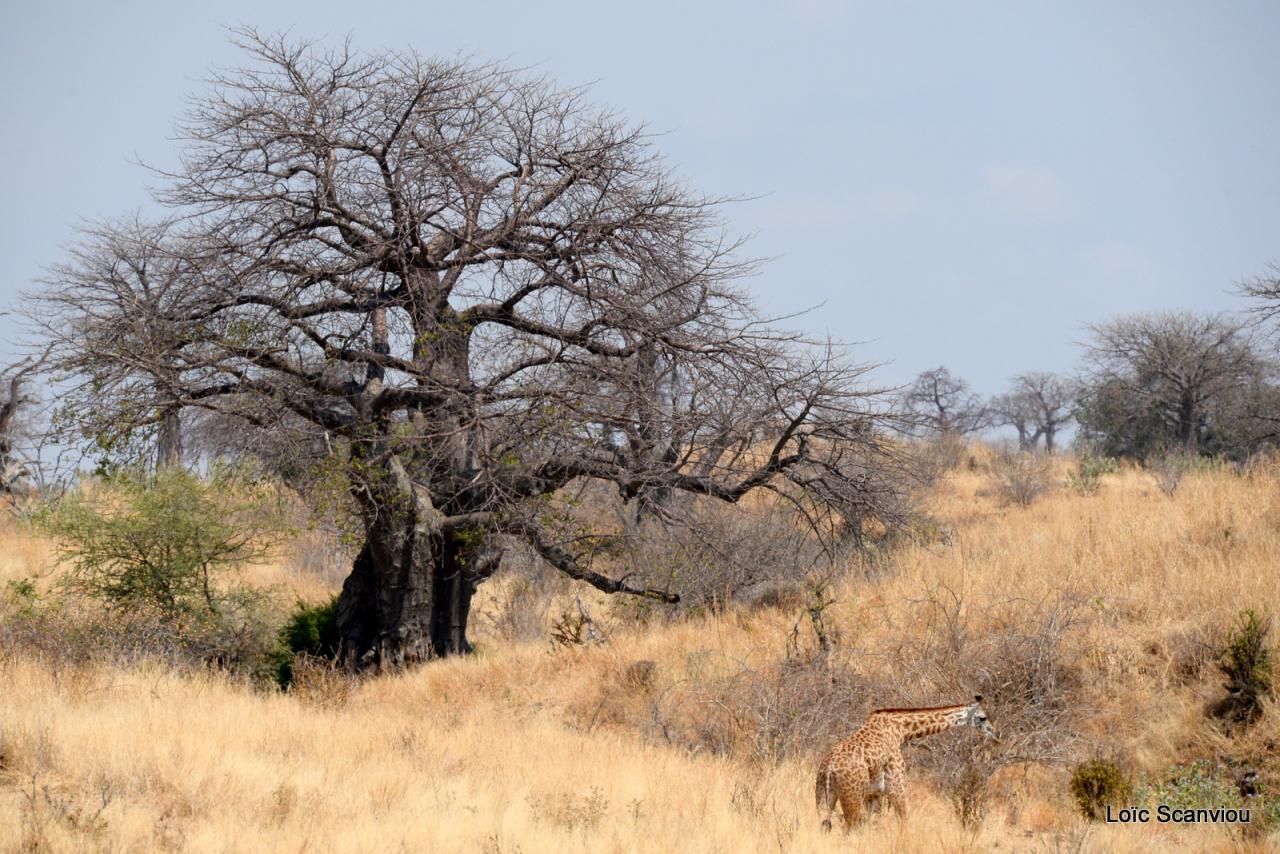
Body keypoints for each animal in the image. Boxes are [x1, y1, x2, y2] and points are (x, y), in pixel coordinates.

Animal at [814, 696, 993, 829]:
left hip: (823, 795)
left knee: (825, 825)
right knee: (850, 828)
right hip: (852, 797)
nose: (995, 733)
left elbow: (874, 825)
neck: (901, 730)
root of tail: (829, 767)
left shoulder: (874, 794)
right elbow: (904, 822)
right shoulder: (896, 787)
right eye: (982, 718)